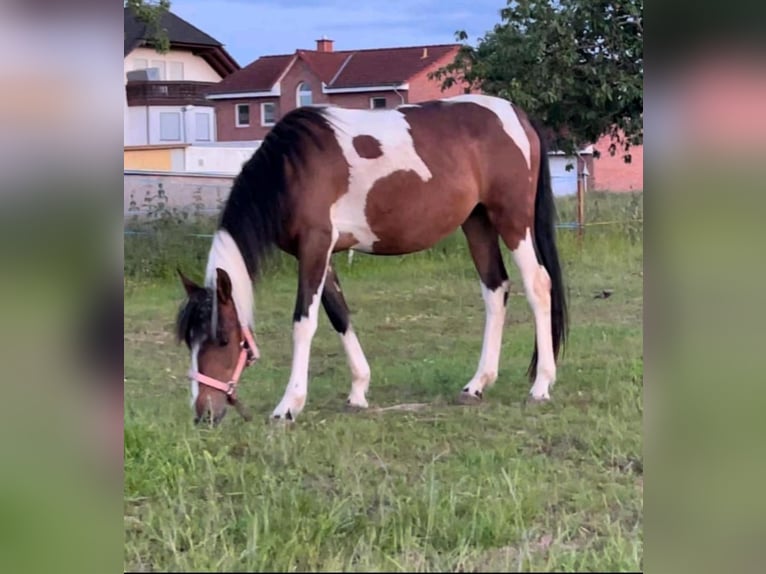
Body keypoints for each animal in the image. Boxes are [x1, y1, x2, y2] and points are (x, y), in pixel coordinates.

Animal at [177, 93, 568, 428]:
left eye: (223, 340)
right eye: (189, 340)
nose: (203, 413)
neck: (292, 168)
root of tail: (517, 116)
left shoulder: (315, 246)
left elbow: (304, 322)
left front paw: (288, 406)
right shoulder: (323, 254)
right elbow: (339, 315)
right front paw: (358, 392)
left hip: (513, 220)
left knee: (538, 285)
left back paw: (541, 386)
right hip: (477, 221)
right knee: (495, 288)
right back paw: (477, 384)